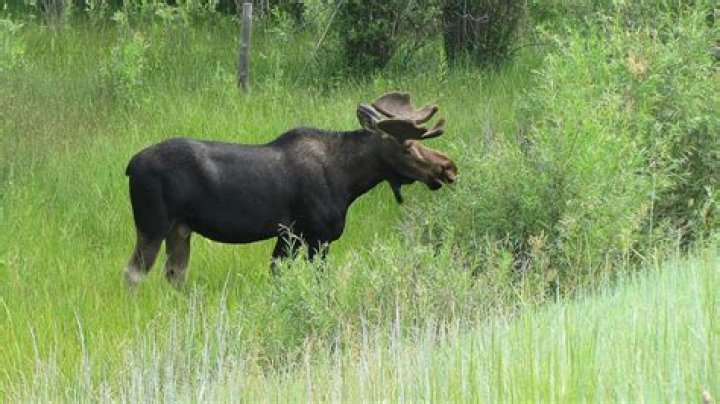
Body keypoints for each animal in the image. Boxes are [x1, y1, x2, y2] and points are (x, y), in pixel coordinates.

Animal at [123, 92, 457, 286]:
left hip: (180, 229)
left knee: (175, 274)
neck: (350, 182)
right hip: (152, 225)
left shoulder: (288, 236)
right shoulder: (316, 236)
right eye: (408, 146)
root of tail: (129, 166)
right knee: (134, 273)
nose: (449, 168)